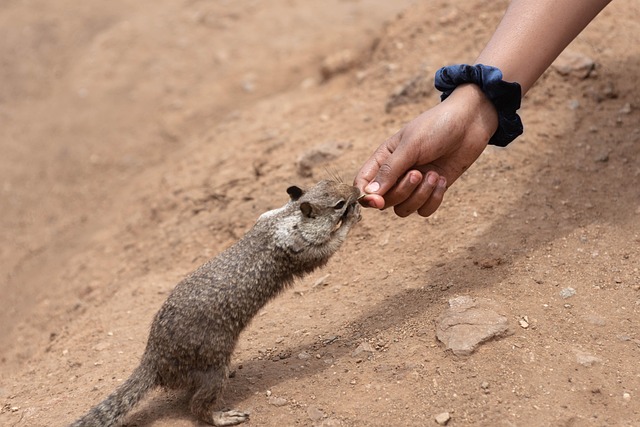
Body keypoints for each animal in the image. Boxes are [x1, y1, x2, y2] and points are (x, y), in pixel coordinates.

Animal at [70, 179, 361, 427]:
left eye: (330, 181)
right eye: (338, 203)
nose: (356, 189)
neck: (286, 218)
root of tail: (153, 359)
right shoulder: (303, 250)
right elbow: (329, 248)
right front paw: (353, 217)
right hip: (213, 366)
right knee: (198, 406)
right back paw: (224, 417)